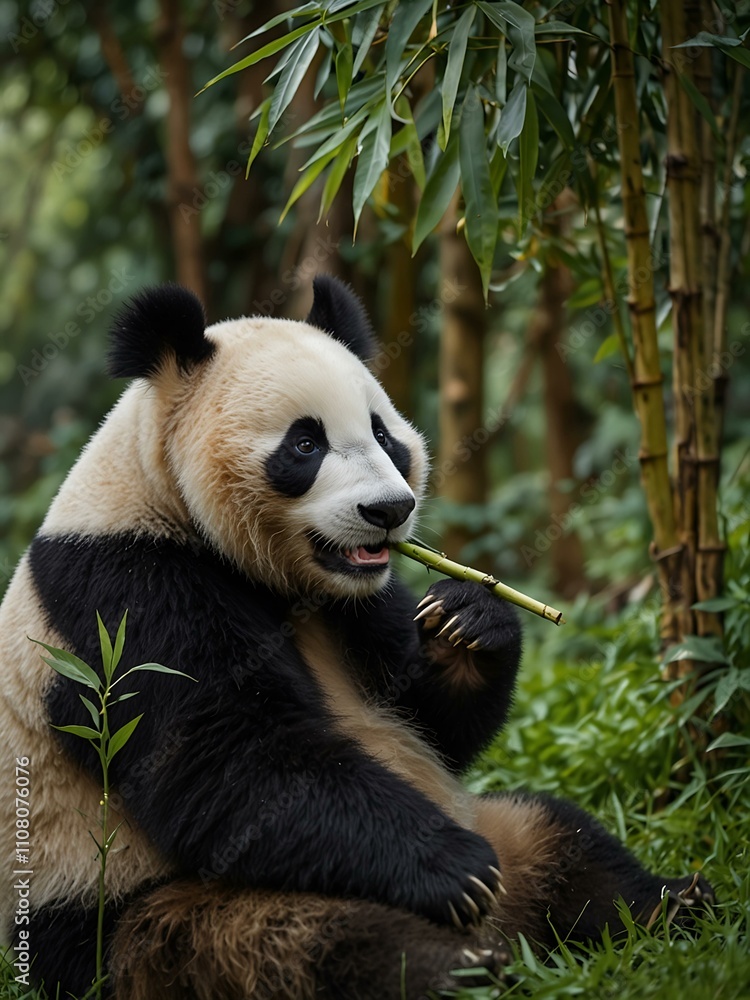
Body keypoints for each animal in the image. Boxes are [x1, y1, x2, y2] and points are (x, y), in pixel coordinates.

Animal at [0, 277, 712, 999]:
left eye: (382, 434)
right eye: (304, 445)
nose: (389, 510)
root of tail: (507, 924)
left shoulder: (355, 597)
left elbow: (432, 722)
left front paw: (468, 622)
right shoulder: (125, 591)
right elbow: (226, 758)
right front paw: (449, 865)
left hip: (505, 831)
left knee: (564, 835)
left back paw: (672, 905)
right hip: (151, 912)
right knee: (309, 945)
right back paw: (462, 966)